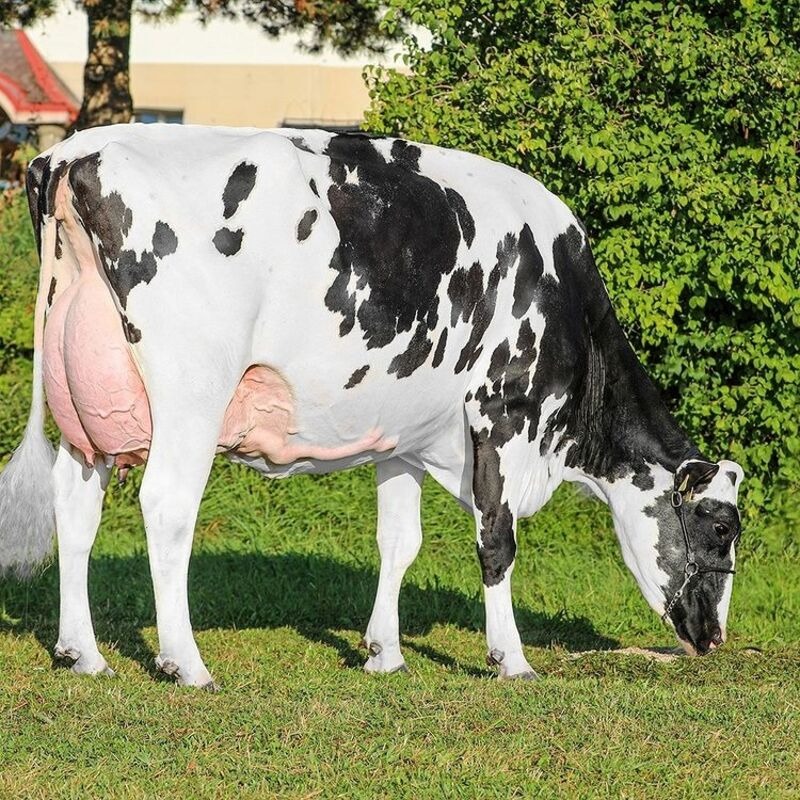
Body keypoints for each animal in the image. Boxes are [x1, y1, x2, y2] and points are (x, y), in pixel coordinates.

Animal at [0, 124, 743, 688]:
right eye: (719, 528)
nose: (714, 637)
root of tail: (72, 153)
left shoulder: (405, 437)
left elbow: (399, 541)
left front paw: (385, 653)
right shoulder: (502, 414)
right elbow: (497, 541)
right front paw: (511, 659)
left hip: (87, 403)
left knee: (75, 505)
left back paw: (83, 653)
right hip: (191, 394)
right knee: (167, 506)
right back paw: (186, 663)